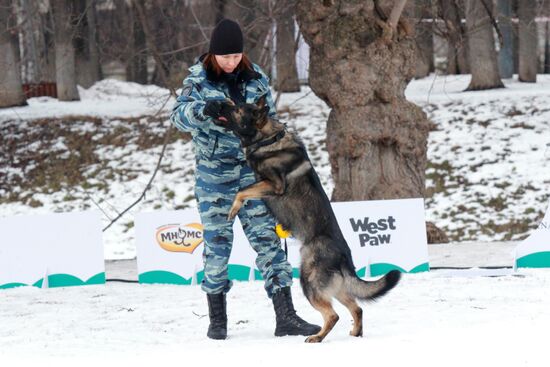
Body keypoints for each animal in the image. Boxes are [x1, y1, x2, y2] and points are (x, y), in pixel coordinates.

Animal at [210, 97, 402, 342]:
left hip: (309, 281)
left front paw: (233, 209)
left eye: (236, 109)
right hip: (335, 287)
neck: (269, 138)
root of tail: (343, 255)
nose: (217, 102)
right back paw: (355, 333)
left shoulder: (274, 185)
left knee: (333, 315)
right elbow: (243, 189)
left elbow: (241, 191)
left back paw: (317, 337)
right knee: (357, 308)